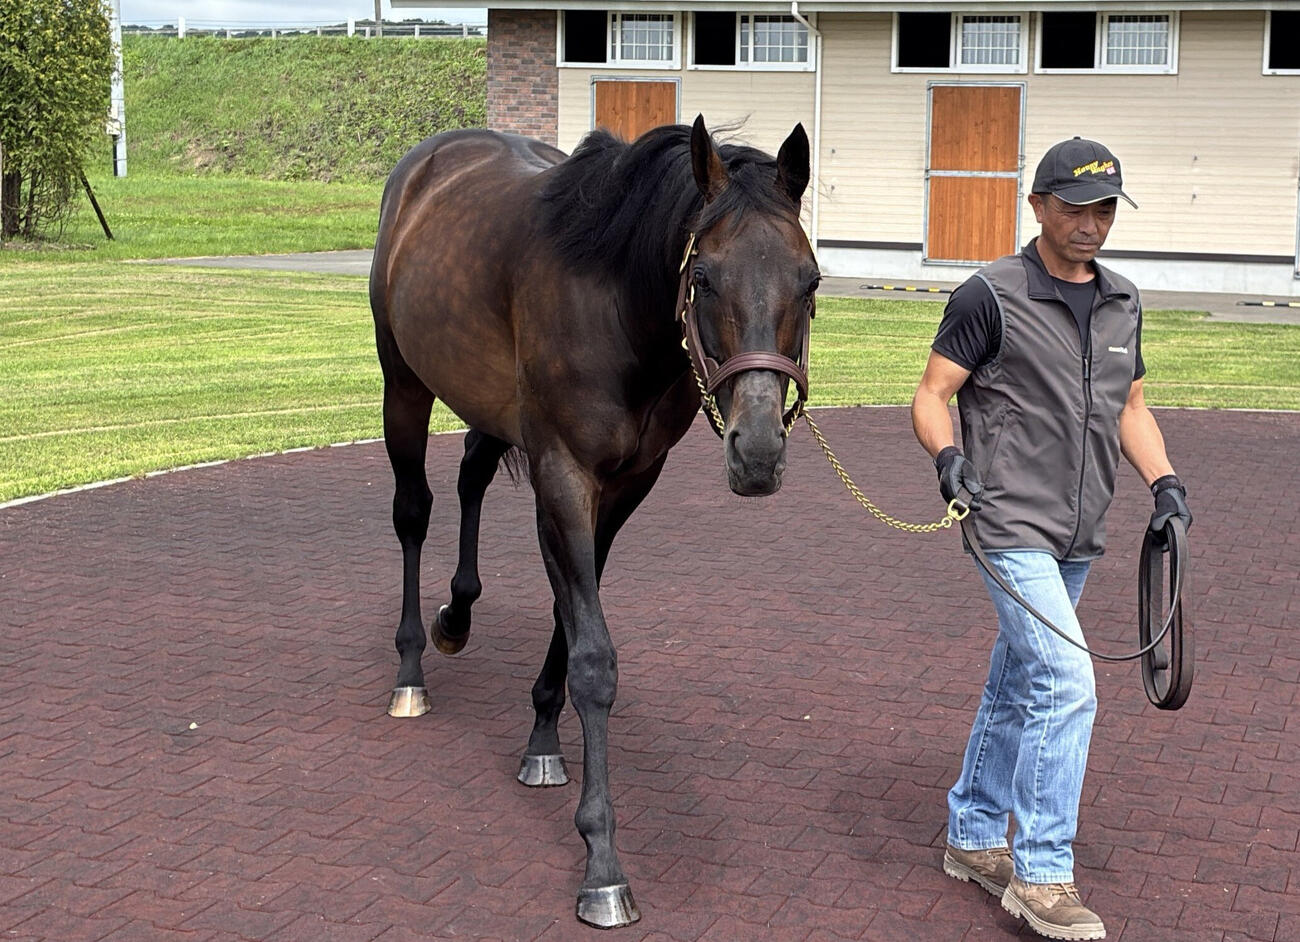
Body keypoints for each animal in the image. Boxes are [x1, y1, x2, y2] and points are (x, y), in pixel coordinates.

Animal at [368, 115, 819, 928]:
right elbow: (594, 658)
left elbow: (570, 612)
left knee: (472, 474)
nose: (759, 450)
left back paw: (458, 615)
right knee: (413, 512)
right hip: (404, 384)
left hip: (491, 405)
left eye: (811, 281)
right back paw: (413, 665)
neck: (617, 306)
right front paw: (602, 860)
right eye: (704, 278)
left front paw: (543, 739)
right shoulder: (564, 473)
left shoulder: (627, 484)